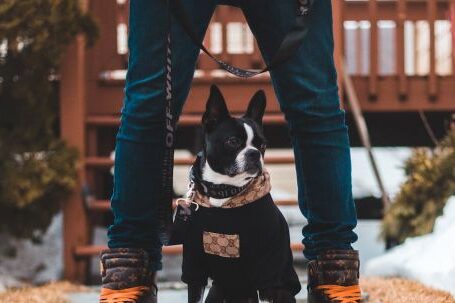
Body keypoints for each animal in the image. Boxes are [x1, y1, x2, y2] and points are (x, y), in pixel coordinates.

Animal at [182, 85, 302, 303]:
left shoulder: (268, 267)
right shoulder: (194, 266)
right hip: (217, 290)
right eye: (233, 141)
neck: (223, 192)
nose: (254, 153)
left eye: (263, 145)